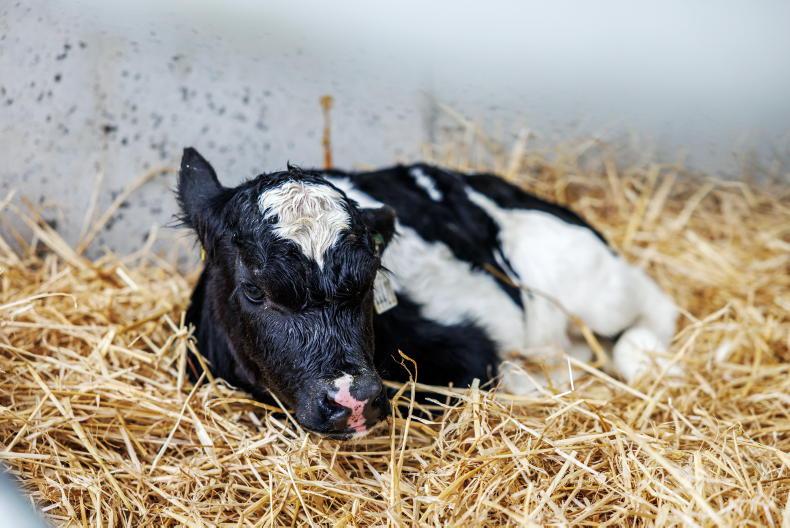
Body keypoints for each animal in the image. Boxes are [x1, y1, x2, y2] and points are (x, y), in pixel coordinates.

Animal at [177, 147, 678, 439]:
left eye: (369, 280)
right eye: (253, 290)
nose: (354, 400)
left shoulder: (474, 355)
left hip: (597, 286)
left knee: (654, 308)